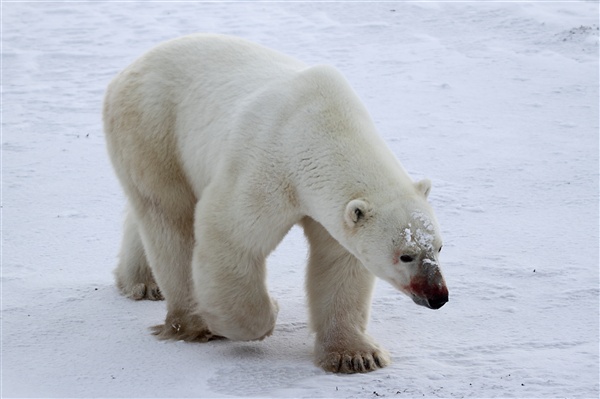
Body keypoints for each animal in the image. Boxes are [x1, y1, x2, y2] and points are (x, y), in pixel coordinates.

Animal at [105, 34, 448, 376]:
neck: (322, 126)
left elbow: (339, 263)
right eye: (405, 255)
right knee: (169, 216)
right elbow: (230, 236)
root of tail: (126, 70)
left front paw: (356, 355)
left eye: (439, 247)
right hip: (153, 128)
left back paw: (141, 282)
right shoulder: (269, 166)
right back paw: (193, 322)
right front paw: (266, 314)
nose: (438, 296)